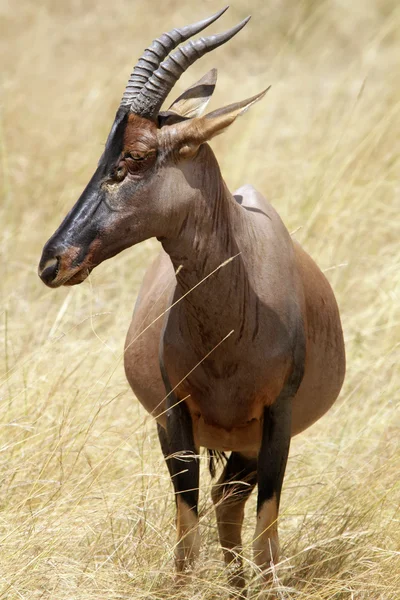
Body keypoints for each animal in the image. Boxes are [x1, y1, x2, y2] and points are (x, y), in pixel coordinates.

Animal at [40, 8, 346, 596]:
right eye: (104, 153)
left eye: (135, 157)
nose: (53, 261)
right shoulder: (175, 415)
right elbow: (185, 541)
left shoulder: (278, 419)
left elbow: (267, 539)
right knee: (223, 506)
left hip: (247, 444)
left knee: (231, 507)